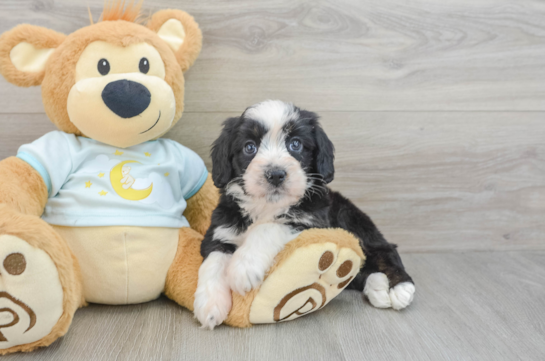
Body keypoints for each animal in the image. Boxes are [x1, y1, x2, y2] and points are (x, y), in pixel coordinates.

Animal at [193, 100, 414, 328]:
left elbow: (268, 228)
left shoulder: (311, 221)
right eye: (249, 147)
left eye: (296, 144)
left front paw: (243, 267)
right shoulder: (221, 229)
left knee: (385, 250)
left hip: (349, 217)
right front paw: (210, 305)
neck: (266, 206)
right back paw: (377, 286)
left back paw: (400, 287)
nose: (276, 174)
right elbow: (213, 261)